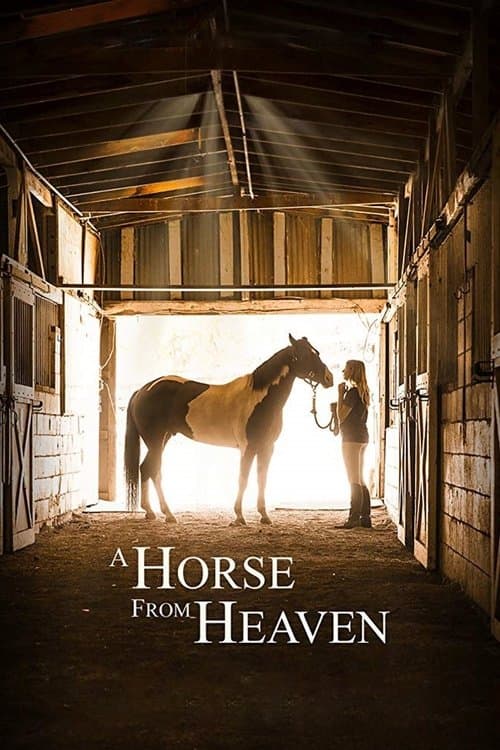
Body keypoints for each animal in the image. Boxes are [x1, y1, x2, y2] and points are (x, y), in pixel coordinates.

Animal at [124, 334, 333, 525]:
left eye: (316, 352)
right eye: (306, 354)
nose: (329, 378)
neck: (258, 399)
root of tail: (142, 390)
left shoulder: (267, 447)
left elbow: (261, 479)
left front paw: (264, 515)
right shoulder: (247, 448)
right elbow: (243, 478)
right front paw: (239, 516)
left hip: (162, 439)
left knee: (148, 469)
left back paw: (153, 512)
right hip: (156, 441)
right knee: (152, 470)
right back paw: (166, 514)